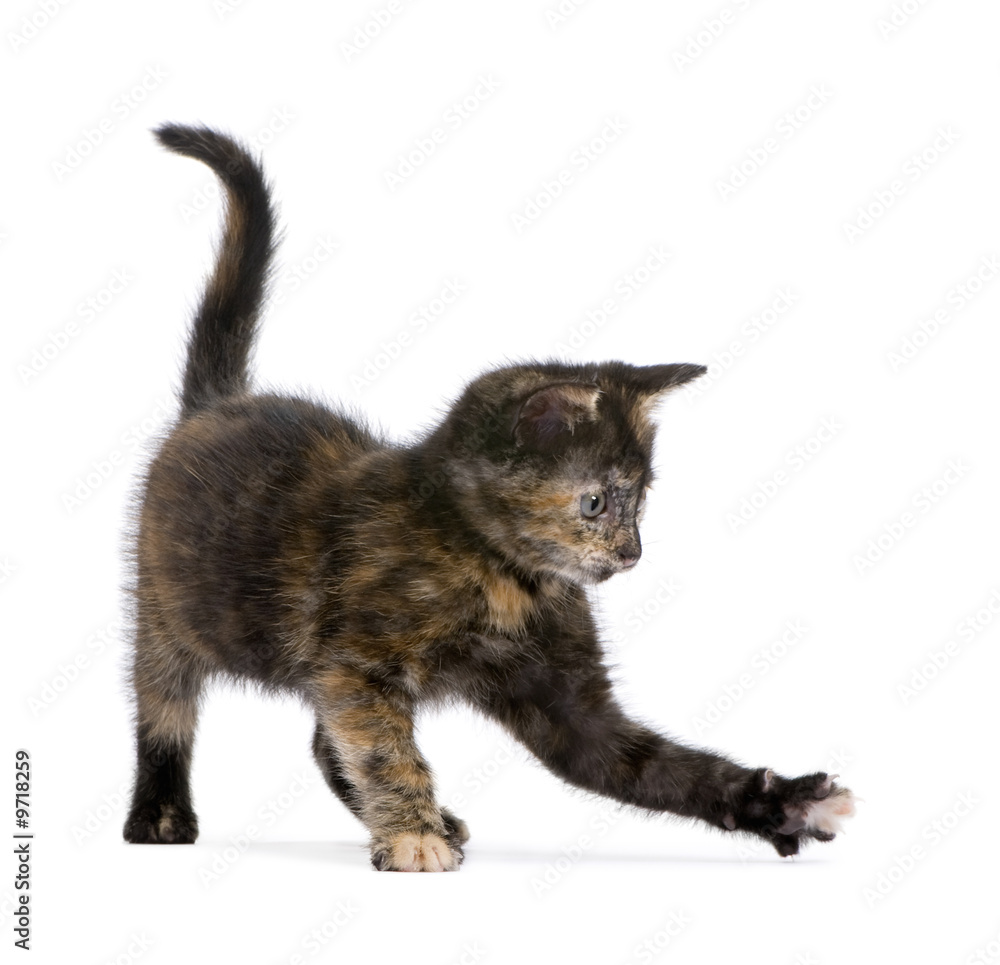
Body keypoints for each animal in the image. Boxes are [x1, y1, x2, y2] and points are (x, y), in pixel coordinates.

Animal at [123, 124, 860, 868]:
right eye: (596, 503)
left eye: (640, 499)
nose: (632, 553)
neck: (504, 575)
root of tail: (217, 402)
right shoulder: (356, 666)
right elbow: (383, 750)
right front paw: (413, 835)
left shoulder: (567, 704)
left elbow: (657, 766)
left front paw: (781, 802)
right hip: (165, 610)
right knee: (164, 706)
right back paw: (160, 814)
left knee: (323, 742)